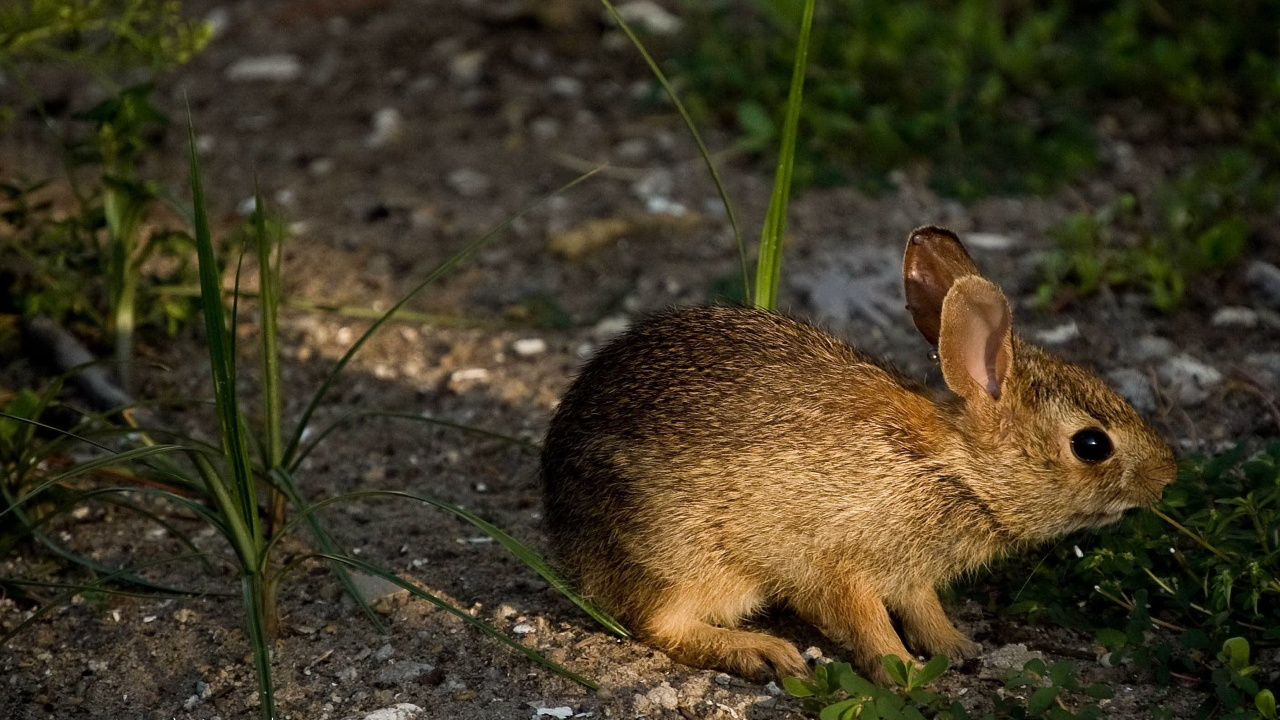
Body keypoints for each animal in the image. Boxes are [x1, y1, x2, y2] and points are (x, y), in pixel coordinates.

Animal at [540, 226, 1177, 683]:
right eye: (1091, 444)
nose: (1167, 476)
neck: (959, 471)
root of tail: (564, 531)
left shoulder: (911, 576)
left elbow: (923, 608)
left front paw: (956, 647)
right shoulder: (837, 565)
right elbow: (866, 623)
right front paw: (904, 669)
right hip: (688, 559)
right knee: (656, 624)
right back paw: (762, 651)